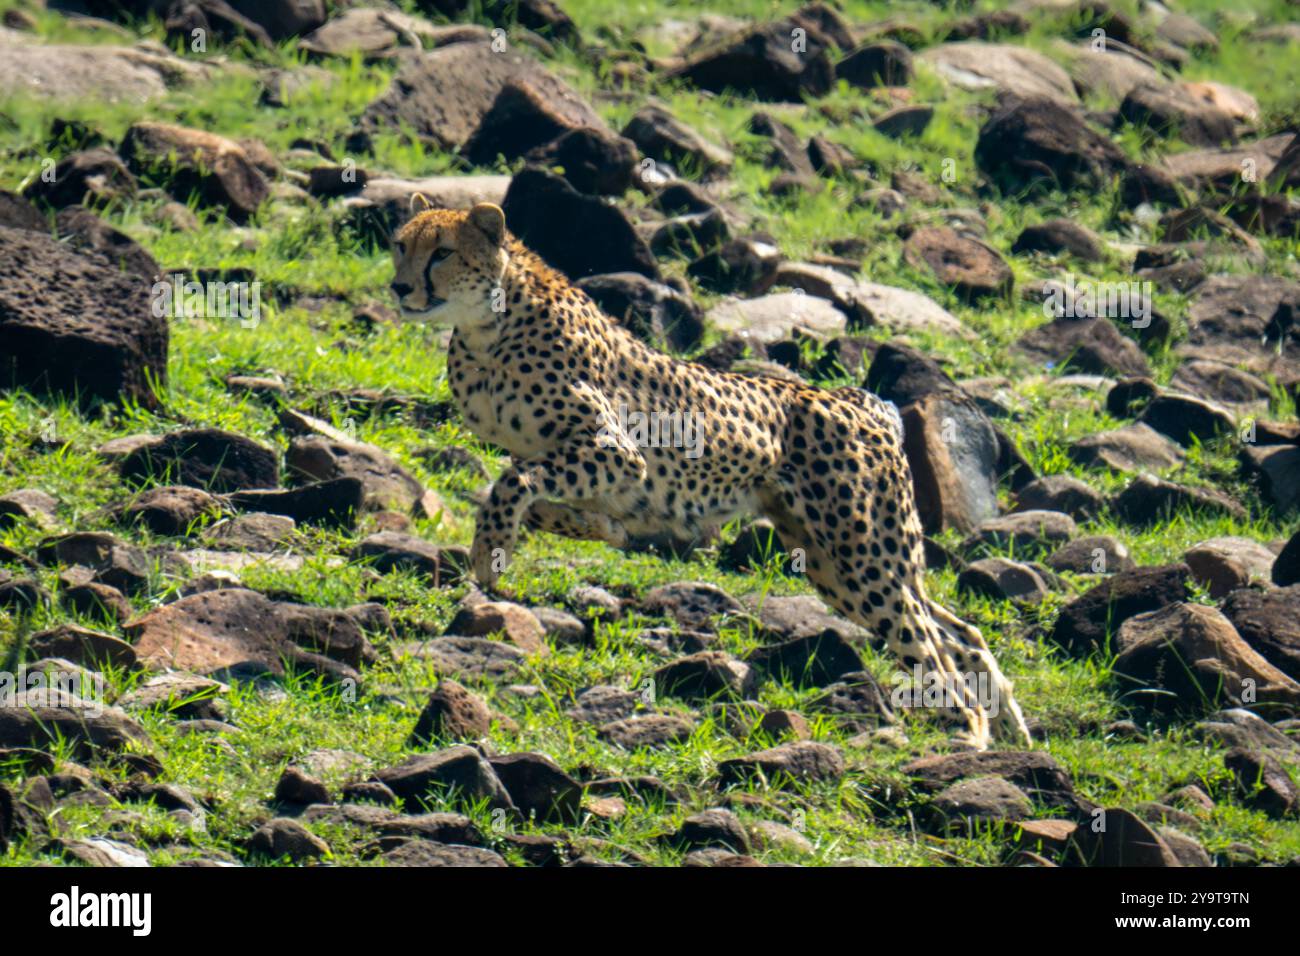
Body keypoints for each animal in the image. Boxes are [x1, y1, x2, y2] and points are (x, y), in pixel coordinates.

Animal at [390, 201, 1029, 749]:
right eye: (401, 245)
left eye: (442, 252)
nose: (399, 287)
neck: (487, 328)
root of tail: (860, 399)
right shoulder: (591, 466)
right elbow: (539, 488)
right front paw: (597, 527)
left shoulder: (619, 453)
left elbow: (512, 481)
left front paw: (490, 549)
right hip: (836, 565)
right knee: (960, 632)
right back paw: (1009, 727)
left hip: (862, 556)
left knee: (931, 645)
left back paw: (968, 737)